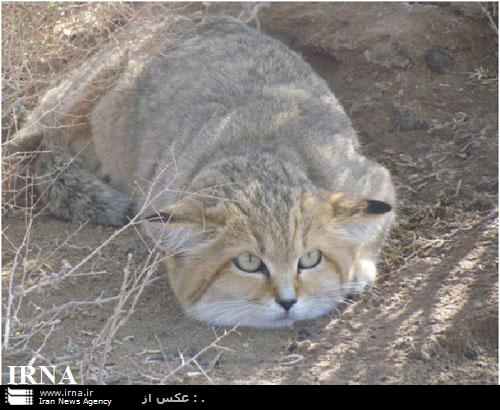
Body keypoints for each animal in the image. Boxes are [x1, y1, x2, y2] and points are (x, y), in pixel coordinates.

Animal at [7, 16, 396, 328]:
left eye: (310, 259)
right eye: (249, 262)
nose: (288, 300)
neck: (256, 154)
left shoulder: (371, 177)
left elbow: (376, 224)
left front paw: (357, 265)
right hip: (77, 101)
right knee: (32, 137)